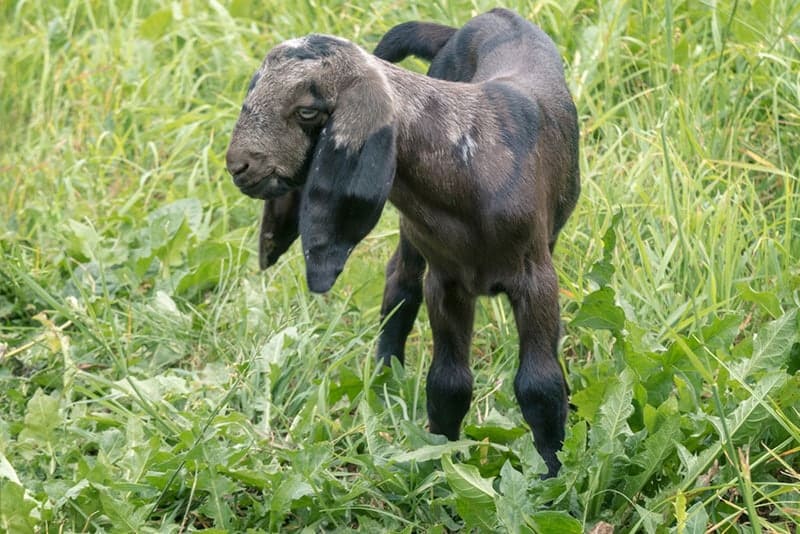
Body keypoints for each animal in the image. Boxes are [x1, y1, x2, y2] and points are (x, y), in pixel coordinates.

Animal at [225, 8, 580, 478]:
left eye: (306, 111)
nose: (238, 166)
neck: (468, 166)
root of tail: (485, 18)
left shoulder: (535, 276)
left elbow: (539, 385)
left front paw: (553, 477)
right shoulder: (446, 280)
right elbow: (448, 383)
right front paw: (441, 461)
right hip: (415, 238)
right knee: (400, 280)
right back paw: (384, 375)